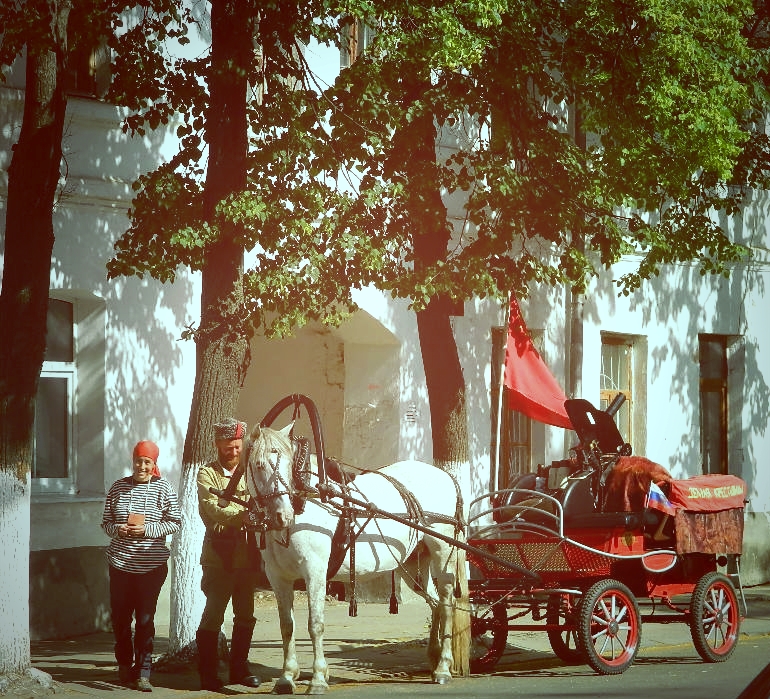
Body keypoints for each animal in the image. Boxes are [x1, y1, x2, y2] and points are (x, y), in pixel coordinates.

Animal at [240, 422, 468, 696]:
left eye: (287, 463)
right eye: (259, 465)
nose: (282, 515)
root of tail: (446, 476)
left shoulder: (315, 571)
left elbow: (315, 624)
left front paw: (318, 678)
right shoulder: (278, 577)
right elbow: (287, 626)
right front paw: (286, 677)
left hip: (443, 551)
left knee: (446, 604)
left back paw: (443, 667)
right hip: (412, 564)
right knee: (435, 604)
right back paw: (434, 658)